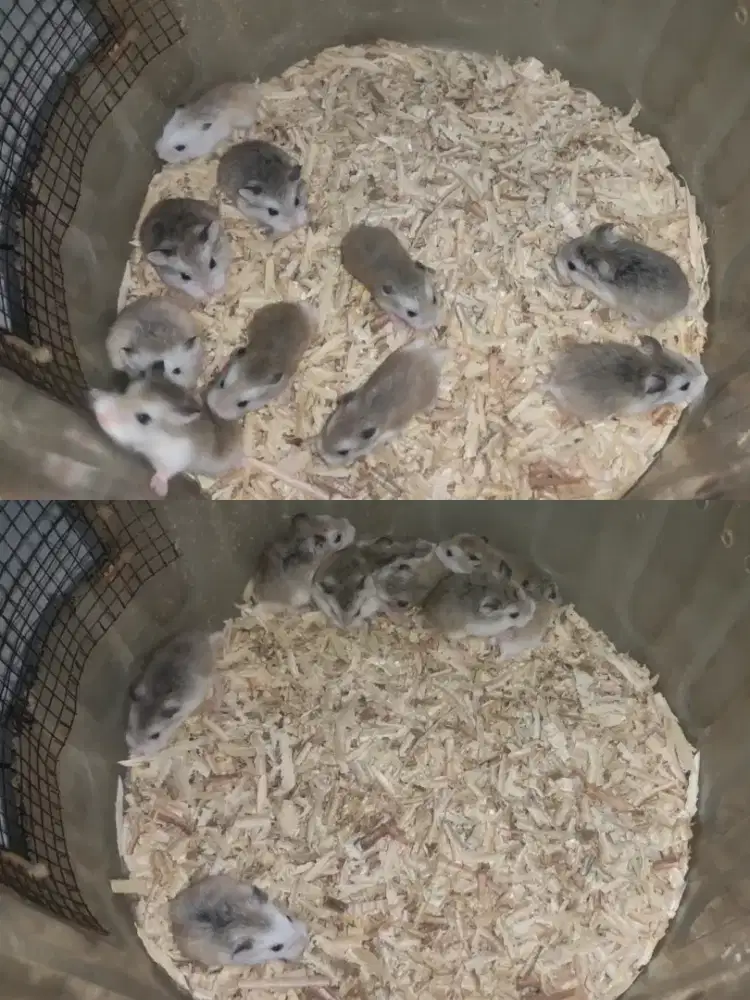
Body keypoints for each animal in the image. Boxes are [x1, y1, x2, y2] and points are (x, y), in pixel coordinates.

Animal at [89, 375, 244, 496]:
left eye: (143, 418)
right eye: (126, 389)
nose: (99, 414)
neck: (151, 440)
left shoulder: (177, 457)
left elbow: (166, 472)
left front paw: (158, 489)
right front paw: (94, 392)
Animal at [554, 223, 690, 327]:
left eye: (571, 266)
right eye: (575, 240)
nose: (556, 258)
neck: (607, 255)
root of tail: (684, 303)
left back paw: (629, 324)